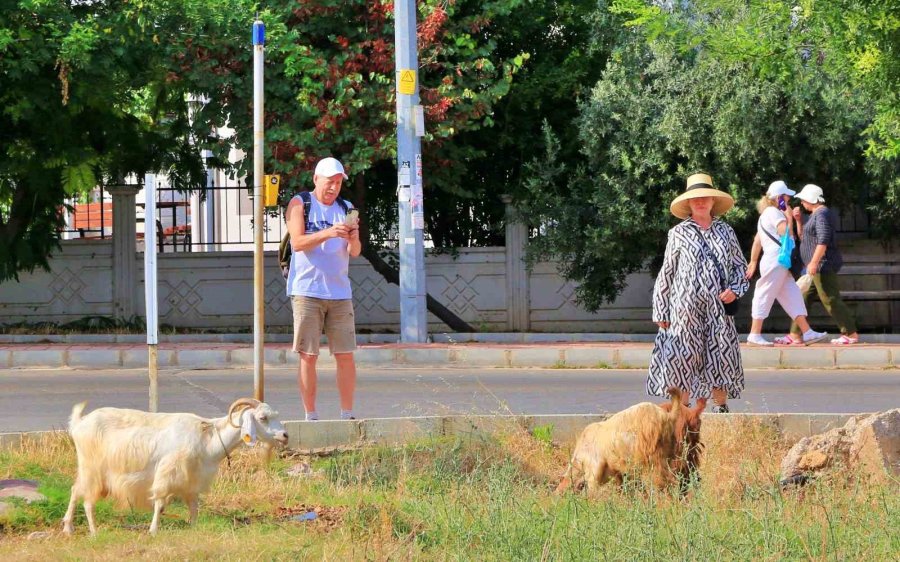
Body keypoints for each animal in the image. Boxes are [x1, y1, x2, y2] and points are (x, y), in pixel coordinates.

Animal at [62, 396, 286, 532]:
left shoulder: (193, 481)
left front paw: (193, 527)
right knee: (87, 499)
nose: (285, 435)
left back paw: (68, 528)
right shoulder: (167, 473)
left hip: (87, 468)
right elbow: (160, 502)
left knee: (74, 490)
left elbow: (194, 506)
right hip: (93, 469)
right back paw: (94, 532)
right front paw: (153, 530)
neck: (207, 438)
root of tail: (79, 423)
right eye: (262, 417)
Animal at [556, 388, 704, 492]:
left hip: (653, 457)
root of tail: (668, 416)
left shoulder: (595, 467)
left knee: (665, 482)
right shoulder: (617, 471)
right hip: (680, 452)